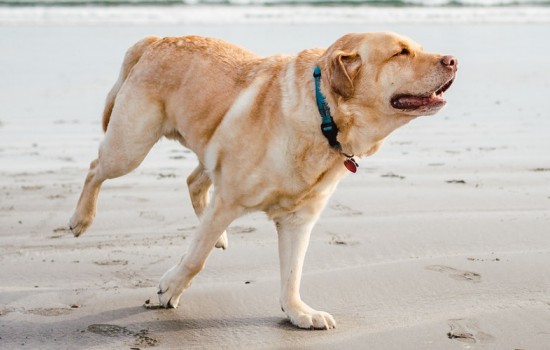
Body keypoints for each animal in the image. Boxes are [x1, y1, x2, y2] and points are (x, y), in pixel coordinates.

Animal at [69, 31, 458, 330]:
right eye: (401, 53)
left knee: (194, 182)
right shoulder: (229, 200)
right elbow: (196, 259)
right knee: (95, 168)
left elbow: (292, 274)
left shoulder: (299, 220)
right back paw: (81, 219)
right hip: (130, 146)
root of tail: (155, 40)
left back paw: (219, 236)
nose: (453, 60)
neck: (323, 116)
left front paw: (298, 312)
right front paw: (170, 289)